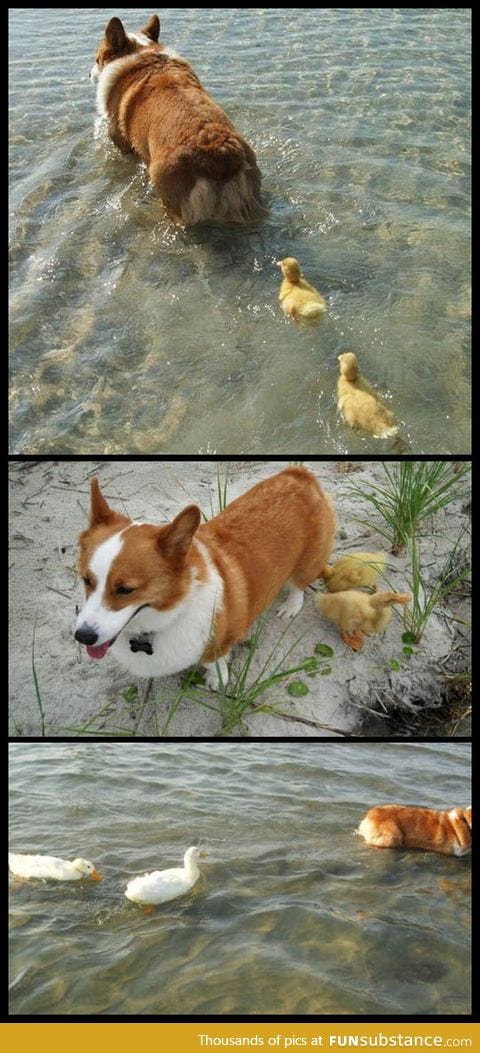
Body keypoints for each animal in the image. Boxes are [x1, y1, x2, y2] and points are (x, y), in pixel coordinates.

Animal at [74, 469, 334, 690]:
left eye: (126, 589)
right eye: (86, 580)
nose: (83, 637)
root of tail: (298, 474)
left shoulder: (218, 643)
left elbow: (213, 662)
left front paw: (217, 680)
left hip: (308, 561)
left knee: (299, 585)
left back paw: (290, 606)